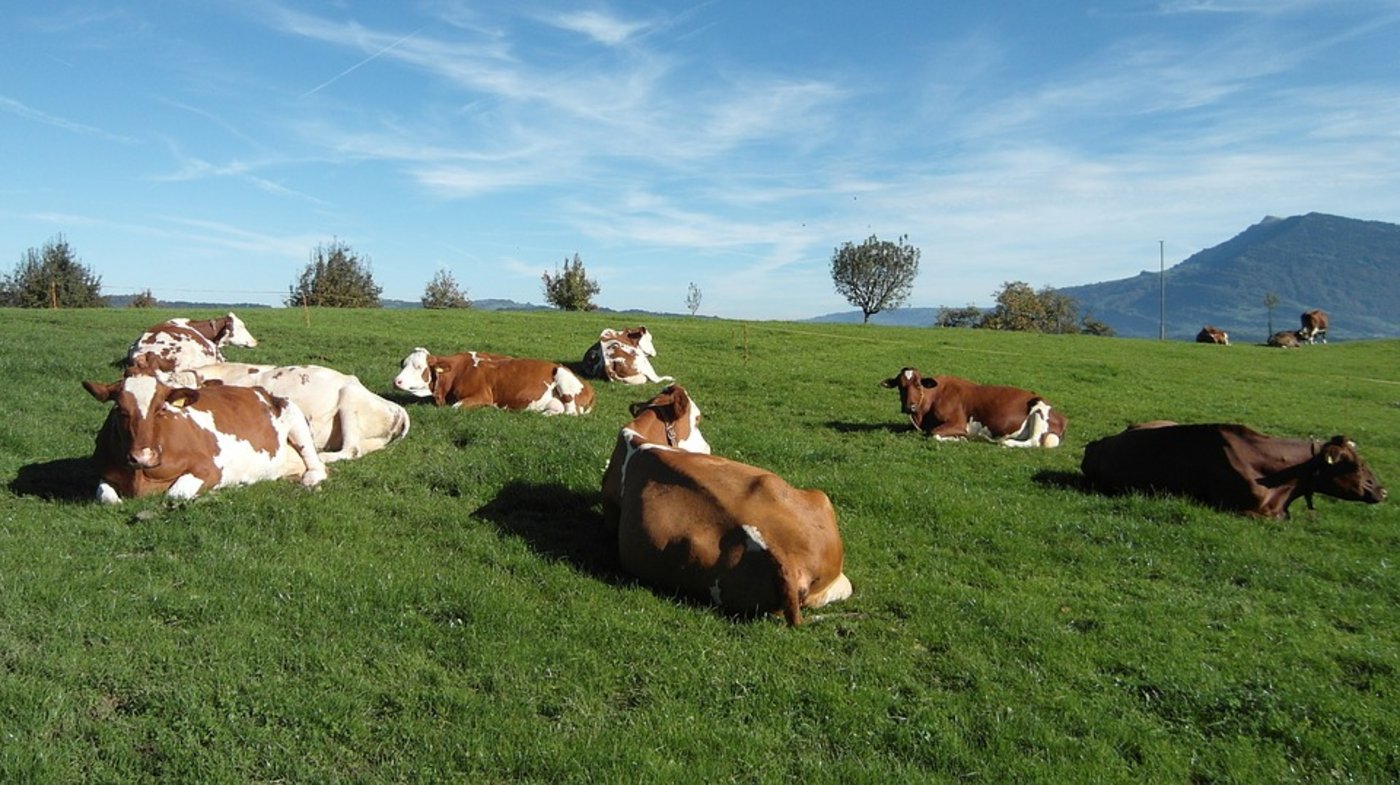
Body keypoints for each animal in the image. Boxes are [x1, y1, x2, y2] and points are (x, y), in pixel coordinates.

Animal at [83, 355, 327, 504]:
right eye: (120, 409)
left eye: (161, 408)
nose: (142, 456)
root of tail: (262, 391)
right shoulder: (103, 474)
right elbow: (108, 498)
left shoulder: (210, 468)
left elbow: (175, 494)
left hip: (295, 417)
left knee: (318, 468)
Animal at [393, 348, 595, 415]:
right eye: (403, 363)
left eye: (418, 366)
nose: (396, 381)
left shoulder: (483, 395)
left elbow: (455, 407)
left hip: (562, 376)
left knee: (571, 413)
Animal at [880, 368, 1066, 448]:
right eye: (900, 385)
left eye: (918, 384)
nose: (908, 407)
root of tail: (1063, 417)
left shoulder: (959, 424)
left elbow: (933, 434)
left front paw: (960, 439)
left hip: (1039, 407)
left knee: (1034, 441)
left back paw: (1004, 442)